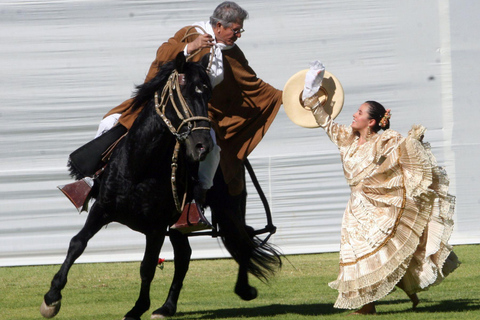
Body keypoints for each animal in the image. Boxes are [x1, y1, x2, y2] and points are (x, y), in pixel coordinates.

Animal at [42, 52, 282, 320]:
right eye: (182, 92)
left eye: (208, 95)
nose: (202, 146)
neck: (140, 166)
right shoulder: (102, 209)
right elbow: (77, 243)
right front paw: (52, 297)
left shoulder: (156, 227)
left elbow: (147, 267)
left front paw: (137, 308)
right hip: (180, 224)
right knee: (187, 254)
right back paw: (167, 307)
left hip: (227, 207)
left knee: (240, 239)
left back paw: (242, 289)